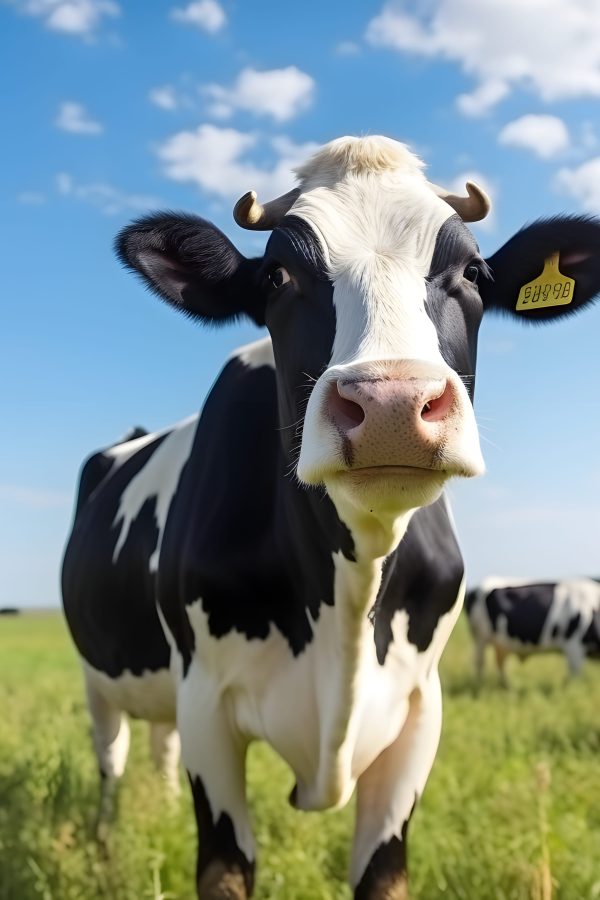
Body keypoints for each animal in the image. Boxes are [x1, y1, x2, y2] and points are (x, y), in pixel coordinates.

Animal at [466, 576, 600, 684]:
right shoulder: (574, 646)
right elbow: (574, 678)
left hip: (500, 643)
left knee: (500, 662)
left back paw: (508, 686)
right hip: (480, 638)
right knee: (480, 663)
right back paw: (480, 686)